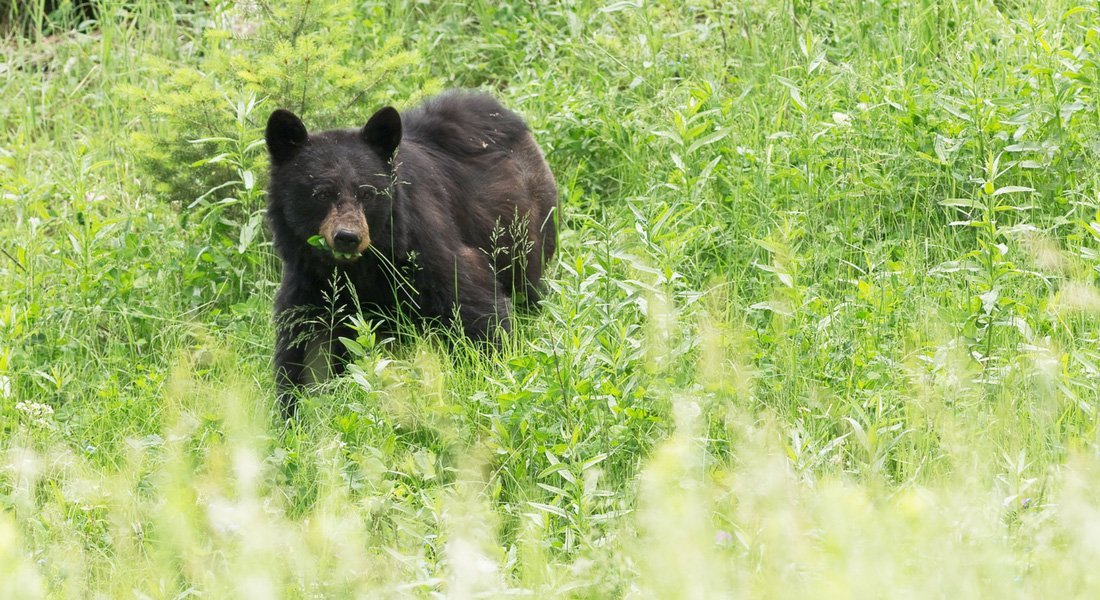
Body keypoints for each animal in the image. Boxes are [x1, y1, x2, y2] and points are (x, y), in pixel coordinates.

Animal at [264, 90, 558, 417]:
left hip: (523, 230)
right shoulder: (309, 280)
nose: (348, 238)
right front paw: (294, 409)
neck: (361, 267)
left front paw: (495, 372)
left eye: (367, 192)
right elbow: (304, 343)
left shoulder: (424, 244)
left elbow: (473, 304)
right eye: (321, 193)